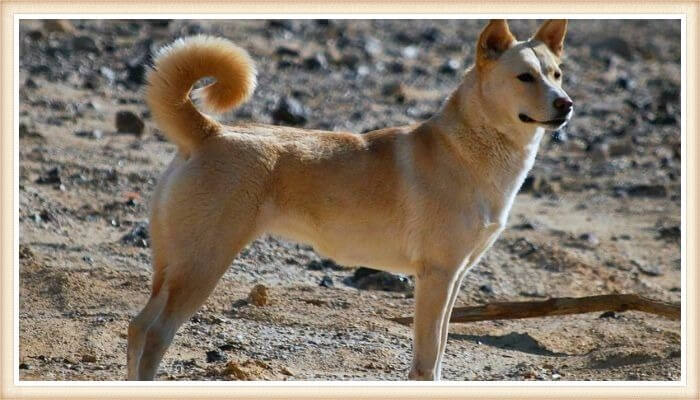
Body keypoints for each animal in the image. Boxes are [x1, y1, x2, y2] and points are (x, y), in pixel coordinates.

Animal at [127, 19, 576, 382]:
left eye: (556, 74)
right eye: (524, 77)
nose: (566, 104)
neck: (472, 149)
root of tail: (210, 132)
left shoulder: (454, 278)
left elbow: (440, 355)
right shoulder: (436, 276)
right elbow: (427, 362)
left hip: (173, 266)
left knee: (137, 327)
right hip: (202, 264)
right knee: (154, 333)